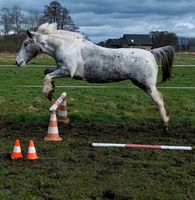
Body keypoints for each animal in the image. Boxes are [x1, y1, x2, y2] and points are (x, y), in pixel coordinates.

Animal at [16, 23, 174, 130]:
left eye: (26, 43)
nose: (17, 62)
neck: (66, 46)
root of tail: (151, 53)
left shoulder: (67, 70)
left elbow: (47, 76)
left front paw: (47, 93)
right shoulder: (60, 68)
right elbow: (47, 72)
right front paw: (51, 90)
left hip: (146, 85)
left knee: (159, 99)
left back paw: (165, 124)